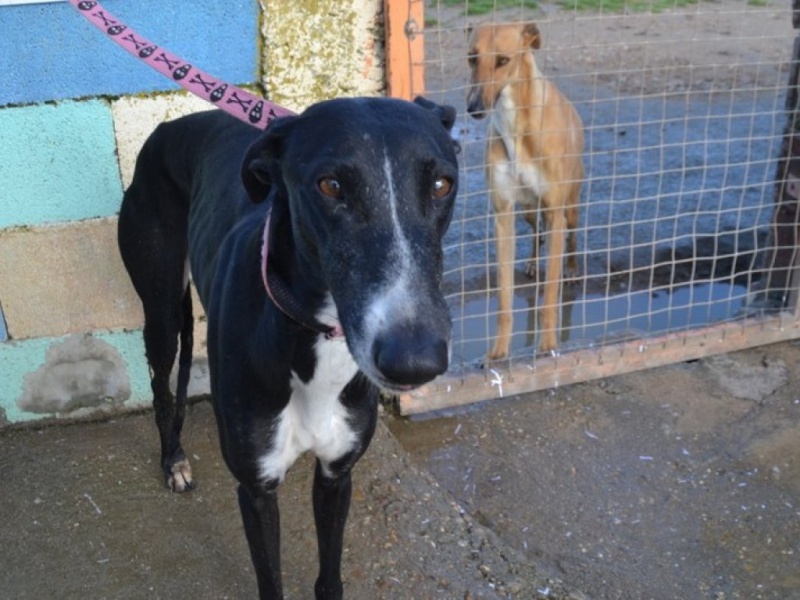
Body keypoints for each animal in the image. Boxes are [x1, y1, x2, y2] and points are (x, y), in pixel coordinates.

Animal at [116, 96, 460, 596]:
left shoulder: (338, 474)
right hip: (160, 309)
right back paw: (173, 460)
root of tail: (168, 126)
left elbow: (329, 577)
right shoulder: (257, 489)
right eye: (330, 185)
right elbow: (270, 581)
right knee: (161, 388)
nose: (415, 361)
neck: (315, 337)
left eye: (440, 184)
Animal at [466, 23, 584, 358]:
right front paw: (498, 350)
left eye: (504, 60)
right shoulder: (503, 214)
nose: (474, 108)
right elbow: (504, 298)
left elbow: (550, 295)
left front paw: (548, 346)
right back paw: (532, 262)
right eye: (472, 57)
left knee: (572, 236)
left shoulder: (556, 212)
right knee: (535, 233)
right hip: (529, 210)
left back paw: (572, 268)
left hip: (570, 206)